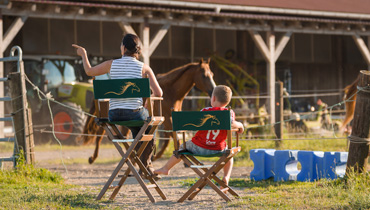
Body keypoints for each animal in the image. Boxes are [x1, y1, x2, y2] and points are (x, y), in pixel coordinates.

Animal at [79, 58, 215, 163]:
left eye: (212, 75)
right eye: (204, 75)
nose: (213, 90)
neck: (170, 91)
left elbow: (169, 137)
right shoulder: (167, 118)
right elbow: (171, 137)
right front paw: (156, 157)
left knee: (123, 135)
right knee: (99, 136)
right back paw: (93, 158)